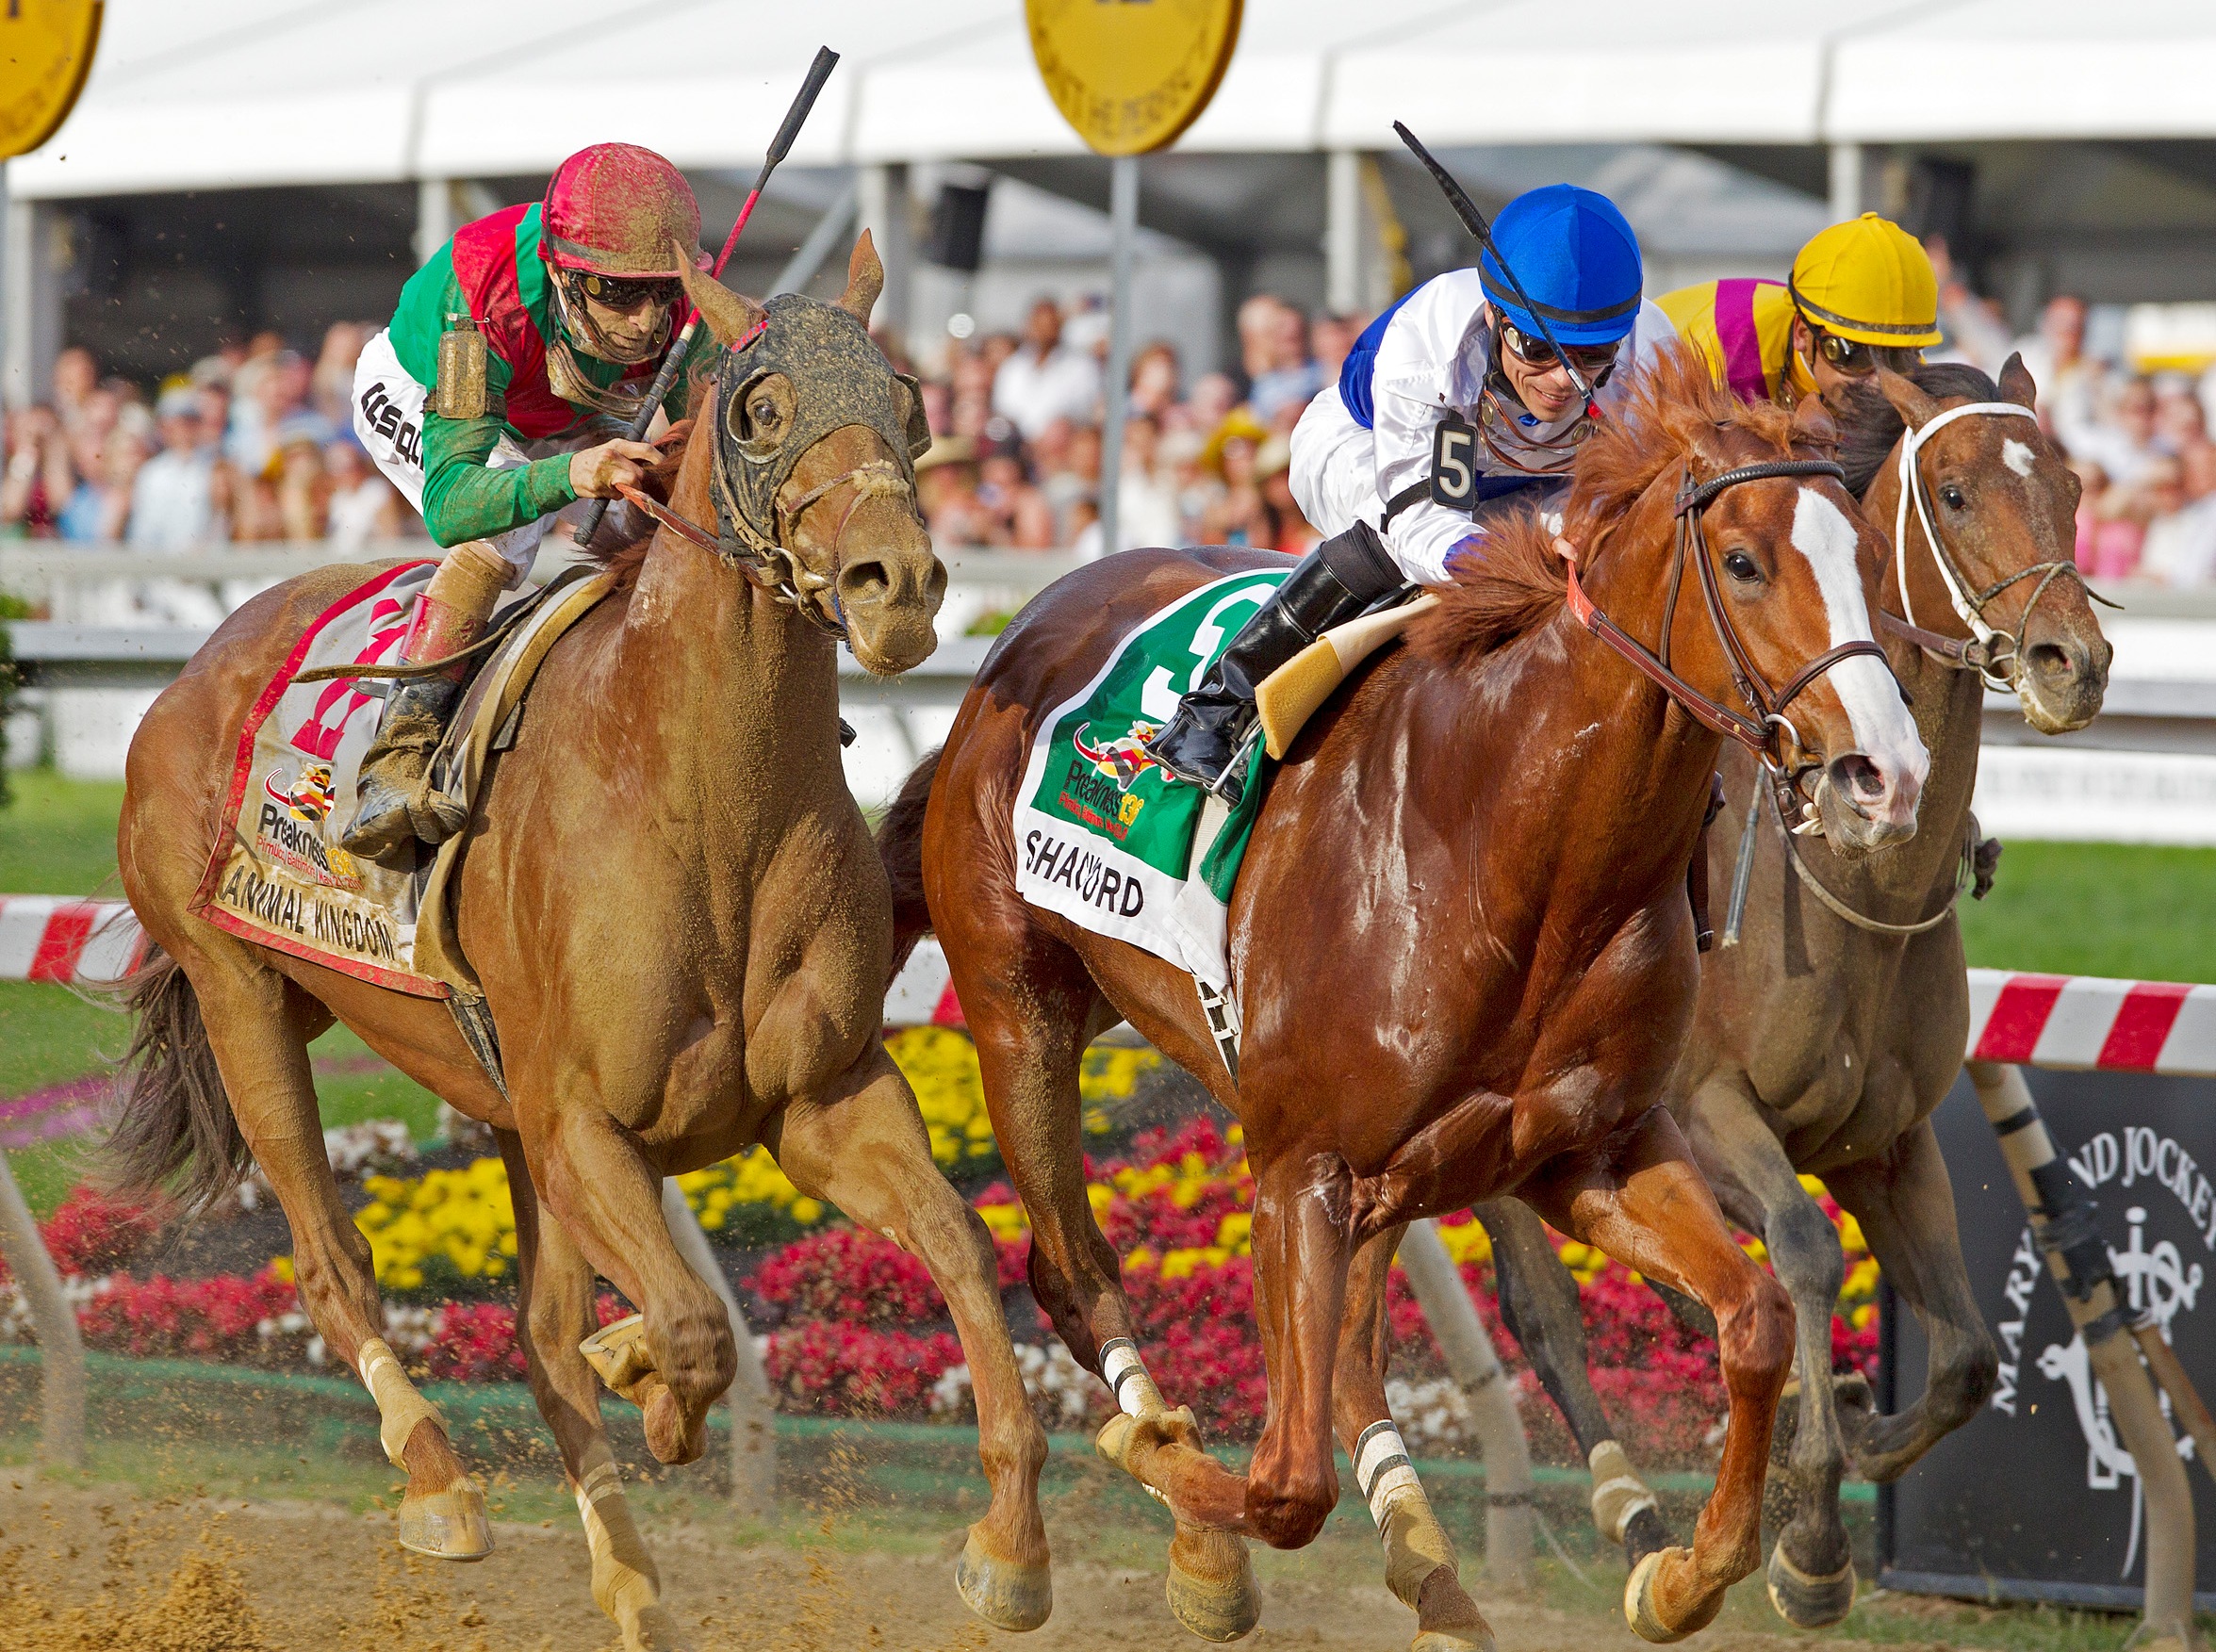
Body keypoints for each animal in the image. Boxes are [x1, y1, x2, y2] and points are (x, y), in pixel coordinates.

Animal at [109, 237, 1055, 1638]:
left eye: (910, 404)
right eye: (756, 408)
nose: (897, 587)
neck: (703, 796)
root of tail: (192, 670)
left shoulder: (820, 1098)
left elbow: (961, 1251)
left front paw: (1009, 1549)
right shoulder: (582, 1125)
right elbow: (695, 1326)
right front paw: (657, 1383)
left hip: (489, 1092)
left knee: (541, 1334)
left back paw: (630, 1578)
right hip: (241, 997)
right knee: (334, 1262)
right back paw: (439, 1485)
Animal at [877, 350, 1923, 1647]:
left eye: (1867, 560)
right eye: (1742, 561)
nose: (1885, 774)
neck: (1508, 847)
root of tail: (1019, 632)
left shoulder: (1583, 1153)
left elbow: (1757, 1318)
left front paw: (1685, 1570)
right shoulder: (1300, 1164)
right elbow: (1282, 1485)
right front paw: (1172, 1487)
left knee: (1345, 1357)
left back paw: (1426, 1572)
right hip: (1018, 1005)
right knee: (1071, 1272)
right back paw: (1033, 1542)